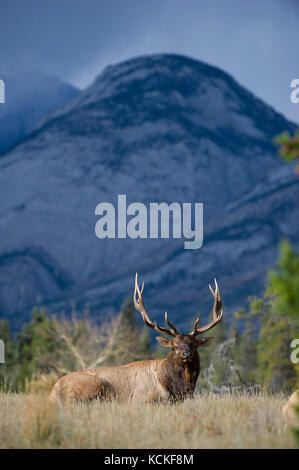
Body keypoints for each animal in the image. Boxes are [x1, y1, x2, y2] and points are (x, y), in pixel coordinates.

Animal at [49, 276, 223, 404]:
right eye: (175, 346)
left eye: (194, 345)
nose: (186, 354)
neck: (178, 387)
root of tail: (54, 391)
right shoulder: (142, 400)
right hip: (90, 387)